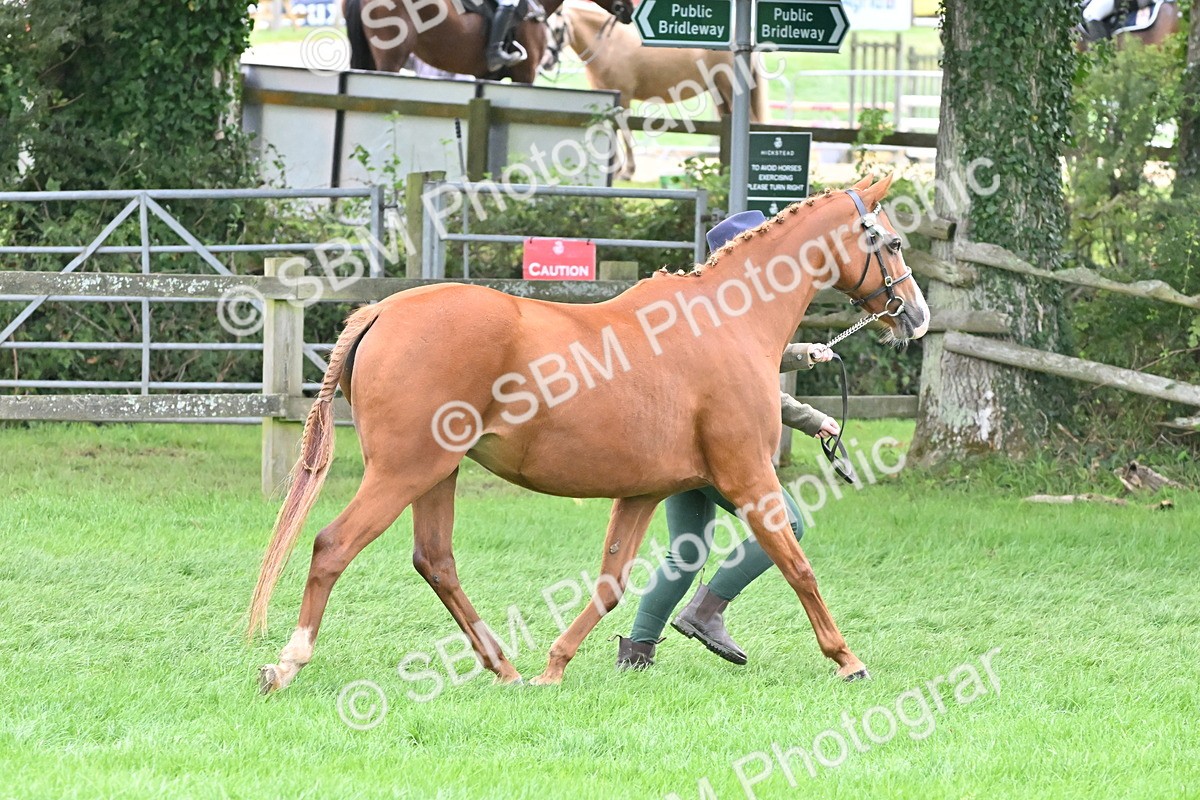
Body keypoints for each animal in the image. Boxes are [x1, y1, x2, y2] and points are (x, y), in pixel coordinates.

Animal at [249, 174, 930, 694]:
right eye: (893, 241)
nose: (918, 317)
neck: (727, 321)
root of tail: (382, 308)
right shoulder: (748, 477)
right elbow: (798, 565)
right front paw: (847, 659)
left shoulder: (644, 492)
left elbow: (611, 584)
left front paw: (556, 666)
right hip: (403, 471)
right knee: (333, 547)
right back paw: (287, 664)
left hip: (437, 473)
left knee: (435, 561)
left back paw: (505, 668)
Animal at [548, 0, 768, 178]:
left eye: (558, 29)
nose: (548, 61)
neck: (609, 44)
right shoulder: (608, 94)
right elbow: (611, 129)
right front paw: (618, 168)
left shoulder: (624, 97)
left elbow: (624, 131)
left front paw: (627, 171)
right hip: (719, 93)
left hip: (729, 88)